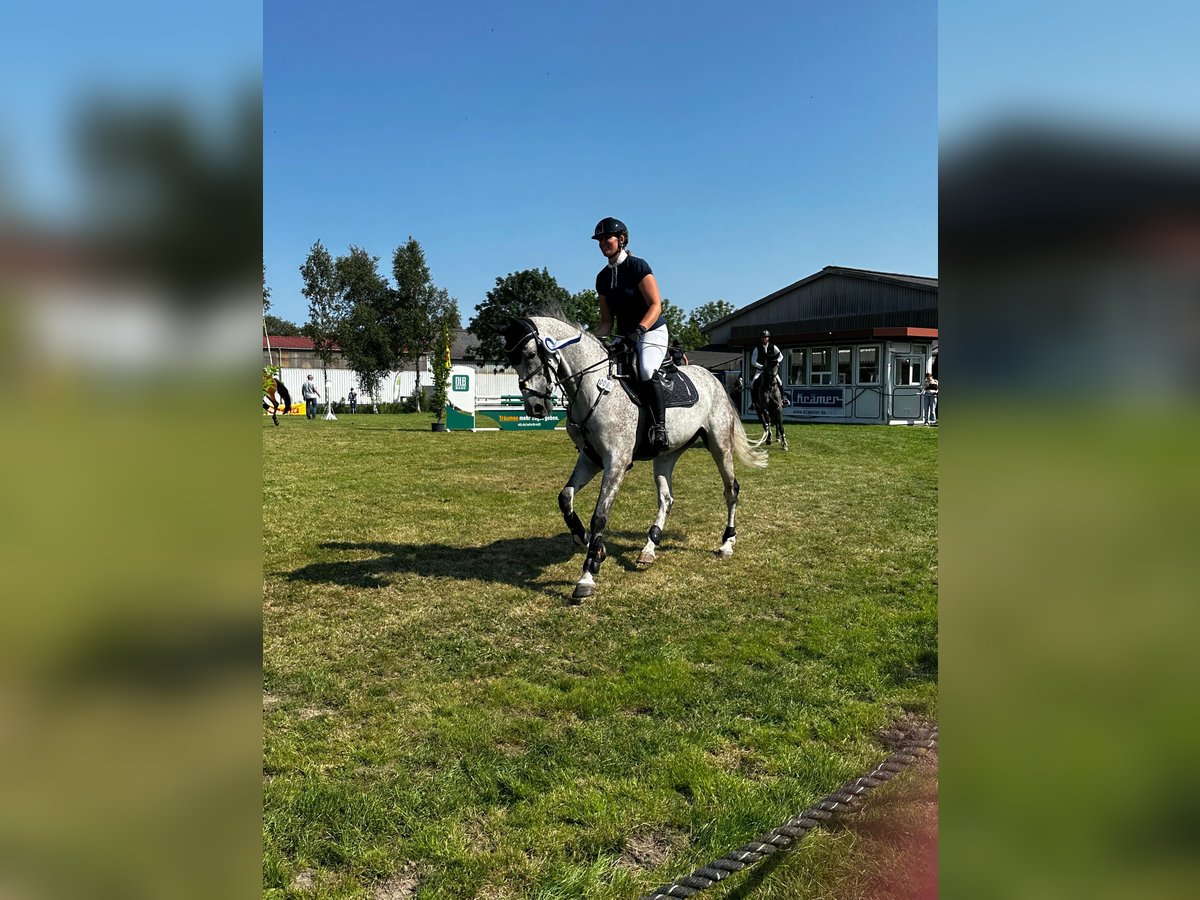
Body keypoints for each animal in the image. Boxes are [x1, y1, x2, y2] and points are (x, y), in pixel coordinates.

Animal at [499, 314, 768, 607]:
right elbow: (565, 498)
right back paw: (649, 548)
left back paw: (726, 543)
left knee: (731, 490)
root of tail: (713, 379)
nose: (535, 408)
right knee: (666, 498)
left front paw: (587, 576)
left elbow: (600, 517)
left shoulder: (616, 463)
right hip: (666, 455)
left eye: (530, 354)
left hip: (719, 446)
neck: (595, 388)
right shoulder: (590, 459)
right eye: (512, 359)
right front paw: (590, 544)